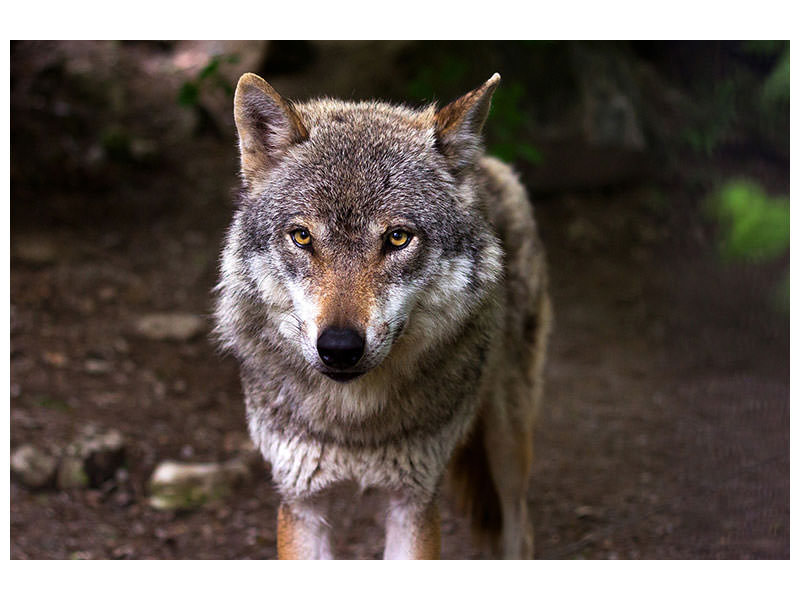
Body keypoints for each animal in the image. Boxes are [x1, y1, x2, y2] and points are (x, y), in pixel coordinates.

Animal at [214, 71, 552, 559]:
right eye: (302, 237)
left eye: (397, 238)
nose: (339, 348)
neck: (354, 424)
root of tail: (485, 164)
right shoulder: (301, 502)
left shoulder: (413, 502)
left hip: (508, 444)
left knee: (519, 528)